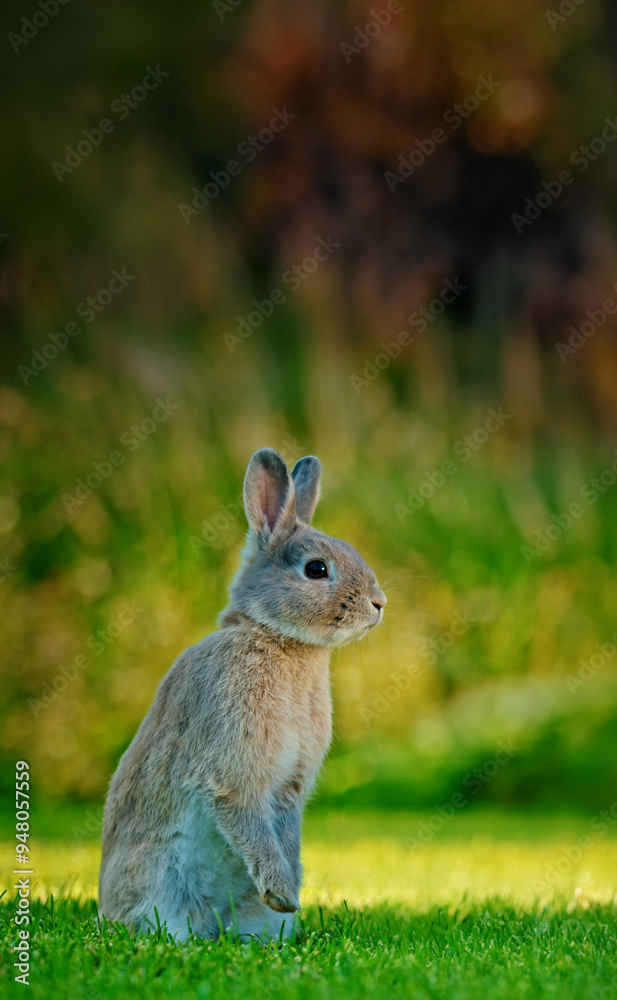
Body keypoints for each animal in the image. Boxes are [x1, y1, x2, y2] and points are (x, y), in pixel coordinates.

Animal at [99, 447, 386, 942]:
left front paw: (289, 890)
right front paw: (283, 892)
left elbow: (285, 832)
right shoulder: (235, 772)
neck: (280, 640)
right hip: (161, 888)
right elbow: (247, 820)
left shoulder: (289, 786)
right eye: (316, 569)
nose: (379, 603)